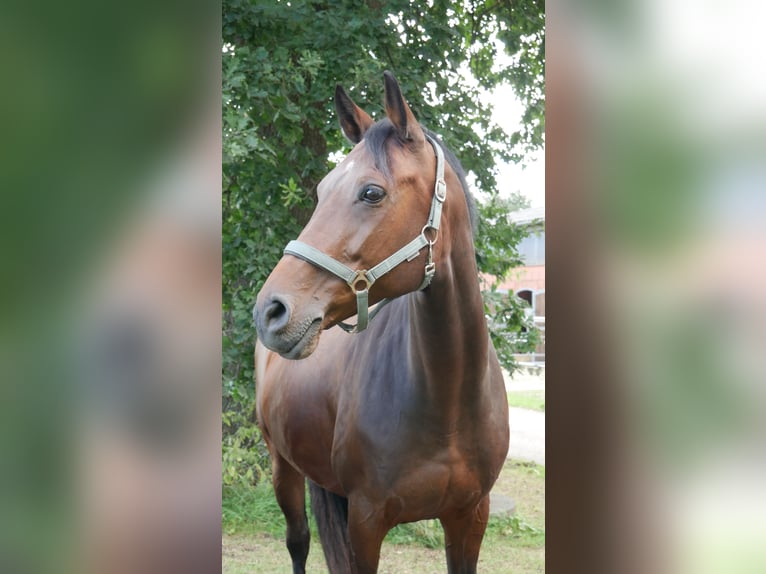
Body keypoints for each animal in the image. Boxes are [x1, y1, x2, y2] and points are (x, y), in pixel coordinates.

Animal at [253, 71, 509, 574]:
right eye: (320, 193)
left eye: (371, 192)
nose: (270, 311)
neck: (447, 403)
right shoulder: (366, 521)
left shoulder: (471, 517)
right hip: (282, 467)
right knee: (298, 542)